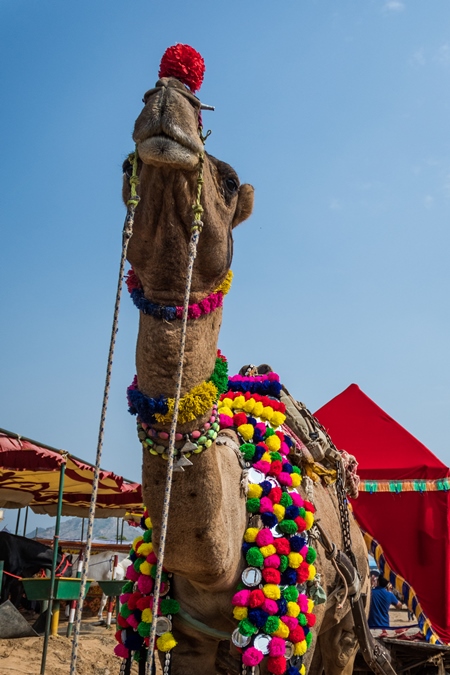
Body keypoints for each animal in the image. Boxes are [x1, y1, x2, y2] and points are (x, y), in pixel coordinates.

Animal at [117, 46, 372, 675]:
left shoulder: (303, 629)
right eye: (126, 169)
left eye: (230, 181)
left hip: (346, 618)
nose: (168, 91)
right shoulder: (184, 638)